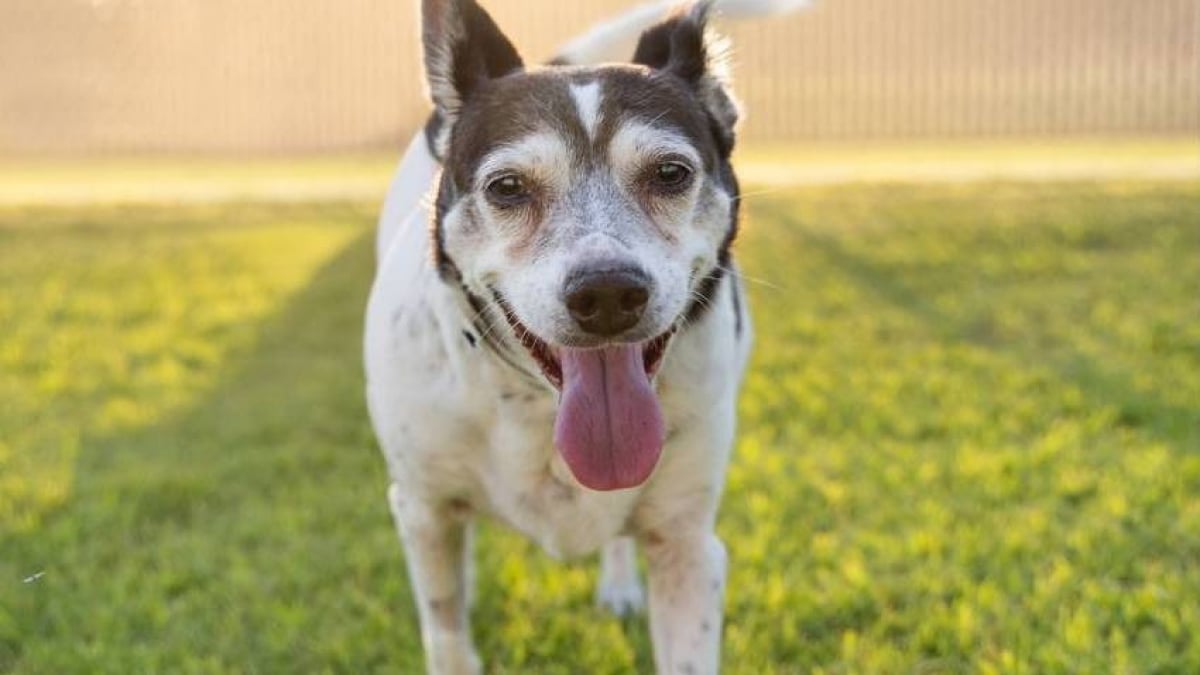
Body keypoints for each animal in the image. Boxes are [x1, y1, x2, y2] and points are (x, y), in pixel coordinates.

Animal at [364, 2, 806, 667]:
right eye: (506, 187)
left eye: (671, 173)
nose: (607, 293)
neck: (538, 407)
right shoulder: (423, 509)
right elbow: (446, 633)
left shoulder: (688, 547)